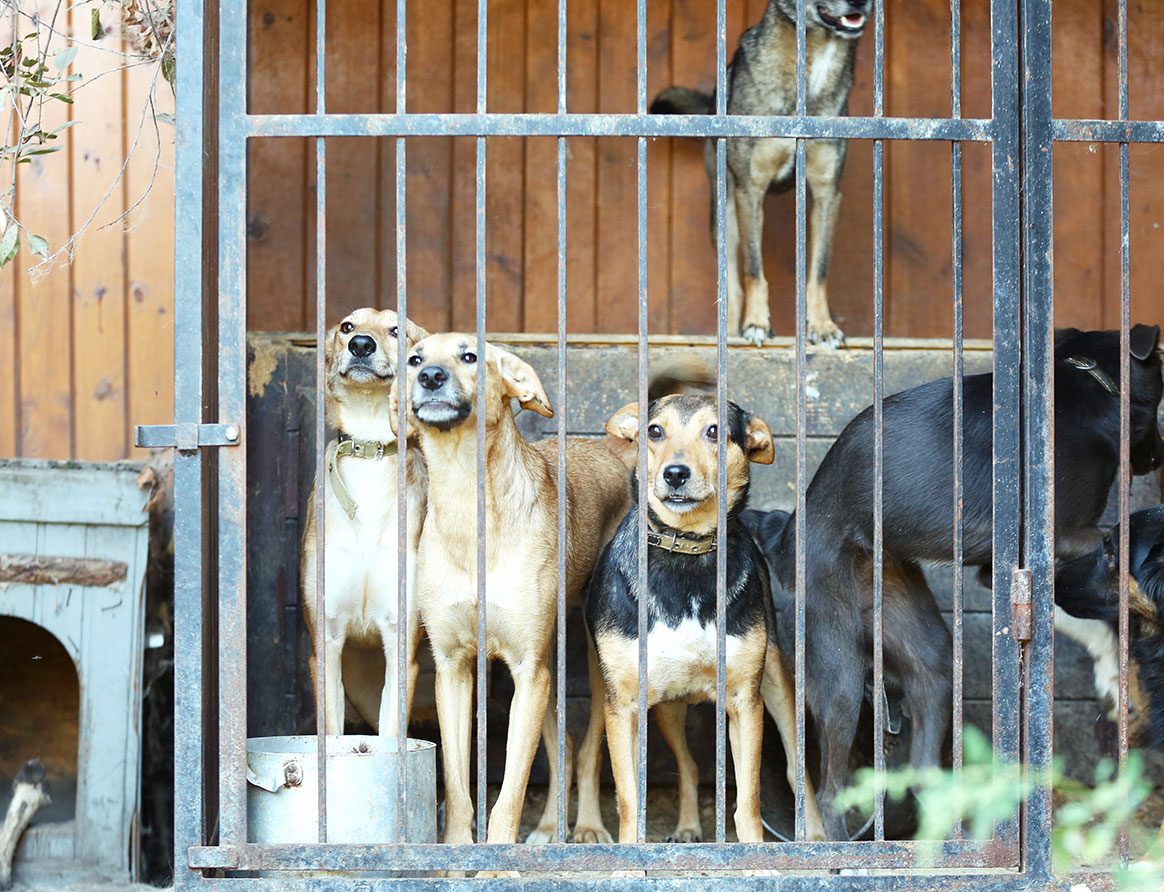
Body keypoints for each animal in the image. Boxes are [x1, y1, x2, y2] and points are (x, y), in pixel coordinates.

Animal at [300, 309, 428, 740]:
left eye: (396, 330)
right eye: (346, 327)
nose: (361, 346)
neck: (369, 447)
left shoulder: (400, 648)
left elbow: (391, 743)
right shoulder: (326, 645)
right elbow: (332, 738)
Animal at [391, 330, 633, 847]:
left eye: (469, 356)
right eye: (415, 359)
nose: (430, 377)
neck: (468, 502)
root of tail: (610, 449)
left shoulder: (528, 668)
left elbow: (511, 793)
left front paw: (497, 857)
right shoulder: (454, 670)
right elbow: (458, 786)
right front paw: (458, 851)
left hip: (590, 659)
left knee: (587, 749)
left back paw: (586, 826)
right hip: (545, 668)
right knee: (563, 744)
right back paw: (548, 828)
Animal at [651, 0, 870, 347]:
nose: (860, 3)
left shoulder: (827, 194)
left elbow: (819, 270)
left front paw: (822, 326)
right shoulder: (750, 191)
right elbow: (754, 269)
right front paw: (755, 322)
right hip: (724, 216)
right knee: (731, 284)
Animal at [768, 326, 1159, 843]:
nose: (1155, 459)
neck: (1090, 379)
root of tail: (787, 538)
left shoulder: (1004, 568)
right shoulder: (1062, 536)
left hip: (923, 650)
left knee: (922, 764)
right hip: (841, 675)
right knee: (830, 792)